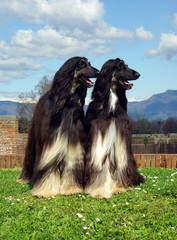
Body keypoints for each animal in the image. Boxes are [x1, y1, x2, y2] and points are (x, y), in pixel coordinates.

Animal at [17, 57, 99, 198]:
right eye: (82, 63)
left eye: (90, 63)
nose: (98, 72)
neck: (66, 103)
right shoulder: (50, 144)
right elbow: (48, 167)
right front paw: (45, 190)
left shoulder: (74, 143)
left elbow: (71, 165)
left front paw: (71, 188)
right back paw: (24, 178)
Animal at [84, 58, 144, 199]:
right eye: (121, 67)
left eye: (127, 65)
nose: (138, 74)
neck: (111, 109)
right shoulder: (99, 136)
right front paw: (100, 190)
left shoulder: (120, 138)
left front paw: (118, 187)